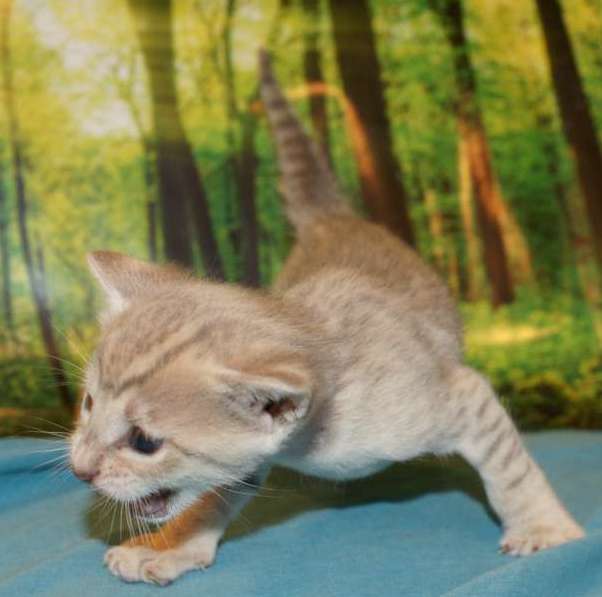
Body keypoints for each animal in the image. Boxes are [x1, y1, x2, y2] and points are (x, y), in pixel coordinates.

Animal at [70, 50, 584, 585]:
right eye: (88, 403)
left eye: (145, 441)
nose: (80, 468)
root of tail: (328, 219)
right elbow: (212, 498)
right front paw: (170, 545)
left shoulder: (462, 394)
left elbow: (509, 468)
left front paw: (541, 525)